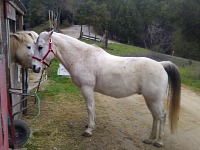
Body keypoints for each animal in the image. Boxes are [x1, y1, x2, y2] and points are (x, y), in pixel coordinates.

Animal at [32, 30, 180, 148]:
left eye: (40, 47)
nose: (35, 68)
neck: (82, 57)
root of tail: (161, 65)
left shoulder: (87, 88)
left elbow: (89, 107)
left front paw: (89, 130)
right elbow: (92, 107)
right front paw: (90, 125)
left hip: (154, 99)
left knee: (162, 116)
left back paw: (158, 142)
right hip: (150, 100)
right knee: (155, 117)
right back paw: (150, 139)